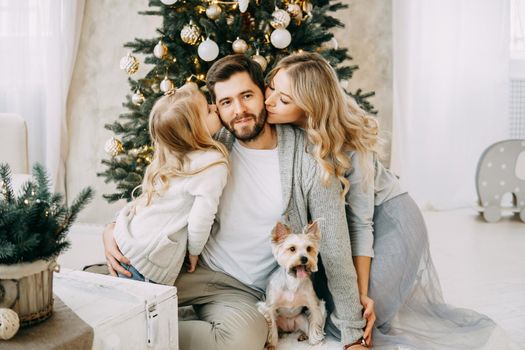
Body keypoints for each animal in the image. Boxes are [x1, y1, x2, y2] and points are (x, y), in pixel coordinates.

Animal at [256, 221, 326, 350]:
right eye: (292, 249)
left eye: (309, 248)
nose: (304, 258)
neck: (293, 281)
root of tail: (289, 328)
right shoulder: (269, 307)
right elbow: (272, 327)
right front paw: (272, 344)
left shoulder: (314, 305)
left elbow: (314, 323)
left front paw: (315, 342)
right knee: (278, 329)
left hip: (301, 320)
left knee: (305, 327)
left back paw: (304, 335)